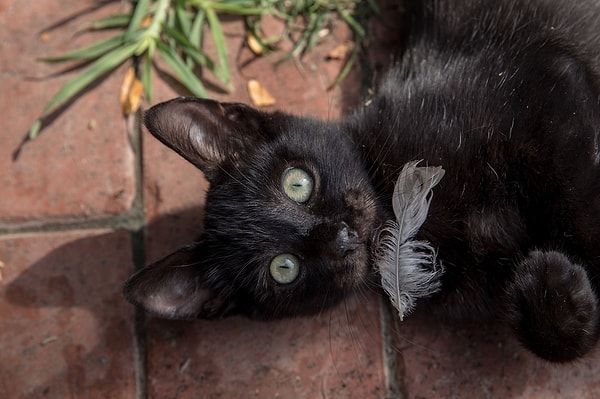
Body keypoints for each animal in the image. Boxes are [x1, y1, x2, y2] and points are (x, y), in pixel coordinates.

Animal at [124, 0, 600, 362]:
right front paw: (553, 287)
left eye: (297, 183)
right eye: (284, 268)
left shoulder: (546, 82)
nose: (343, 236)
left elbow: (581, 203)